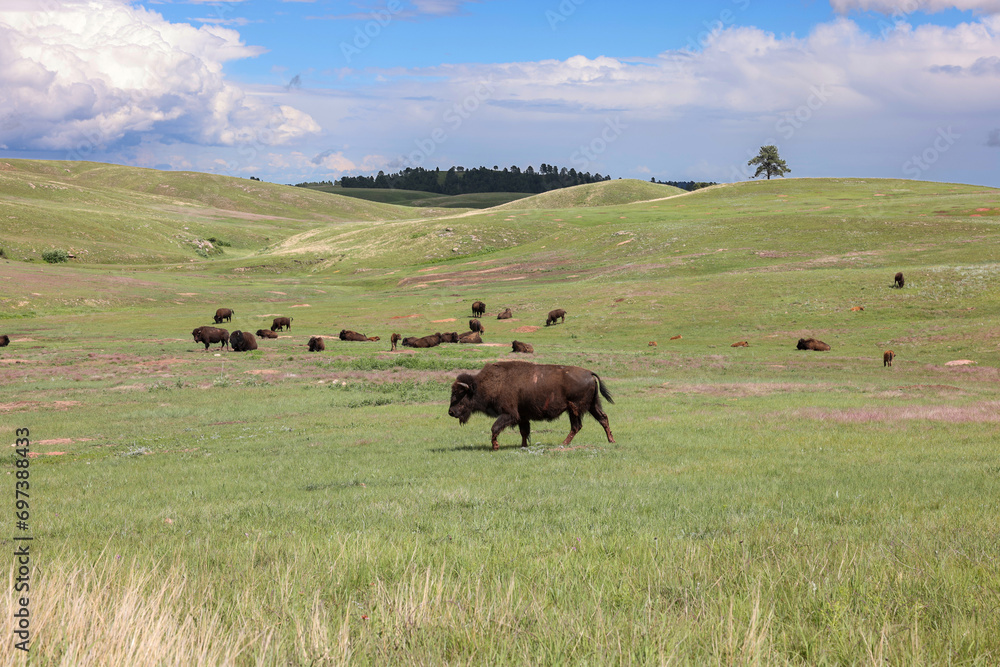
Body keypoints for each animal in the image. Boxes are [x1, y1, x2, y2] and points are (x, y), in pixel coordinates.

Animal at [448, 362, 616, 452]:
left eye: (460, 394)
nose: (451, 412)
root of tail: (589, 373)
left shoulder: (509, 414)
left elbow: (495, 427)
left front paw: (495, 446)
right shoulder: (522, 416)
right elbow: (524, 432)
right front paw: (522, 446)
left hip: (574, 408)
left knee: (577, 426)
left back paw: (563, 444)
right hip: (592, 405)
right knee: (603, 418)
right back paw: (611, 441)